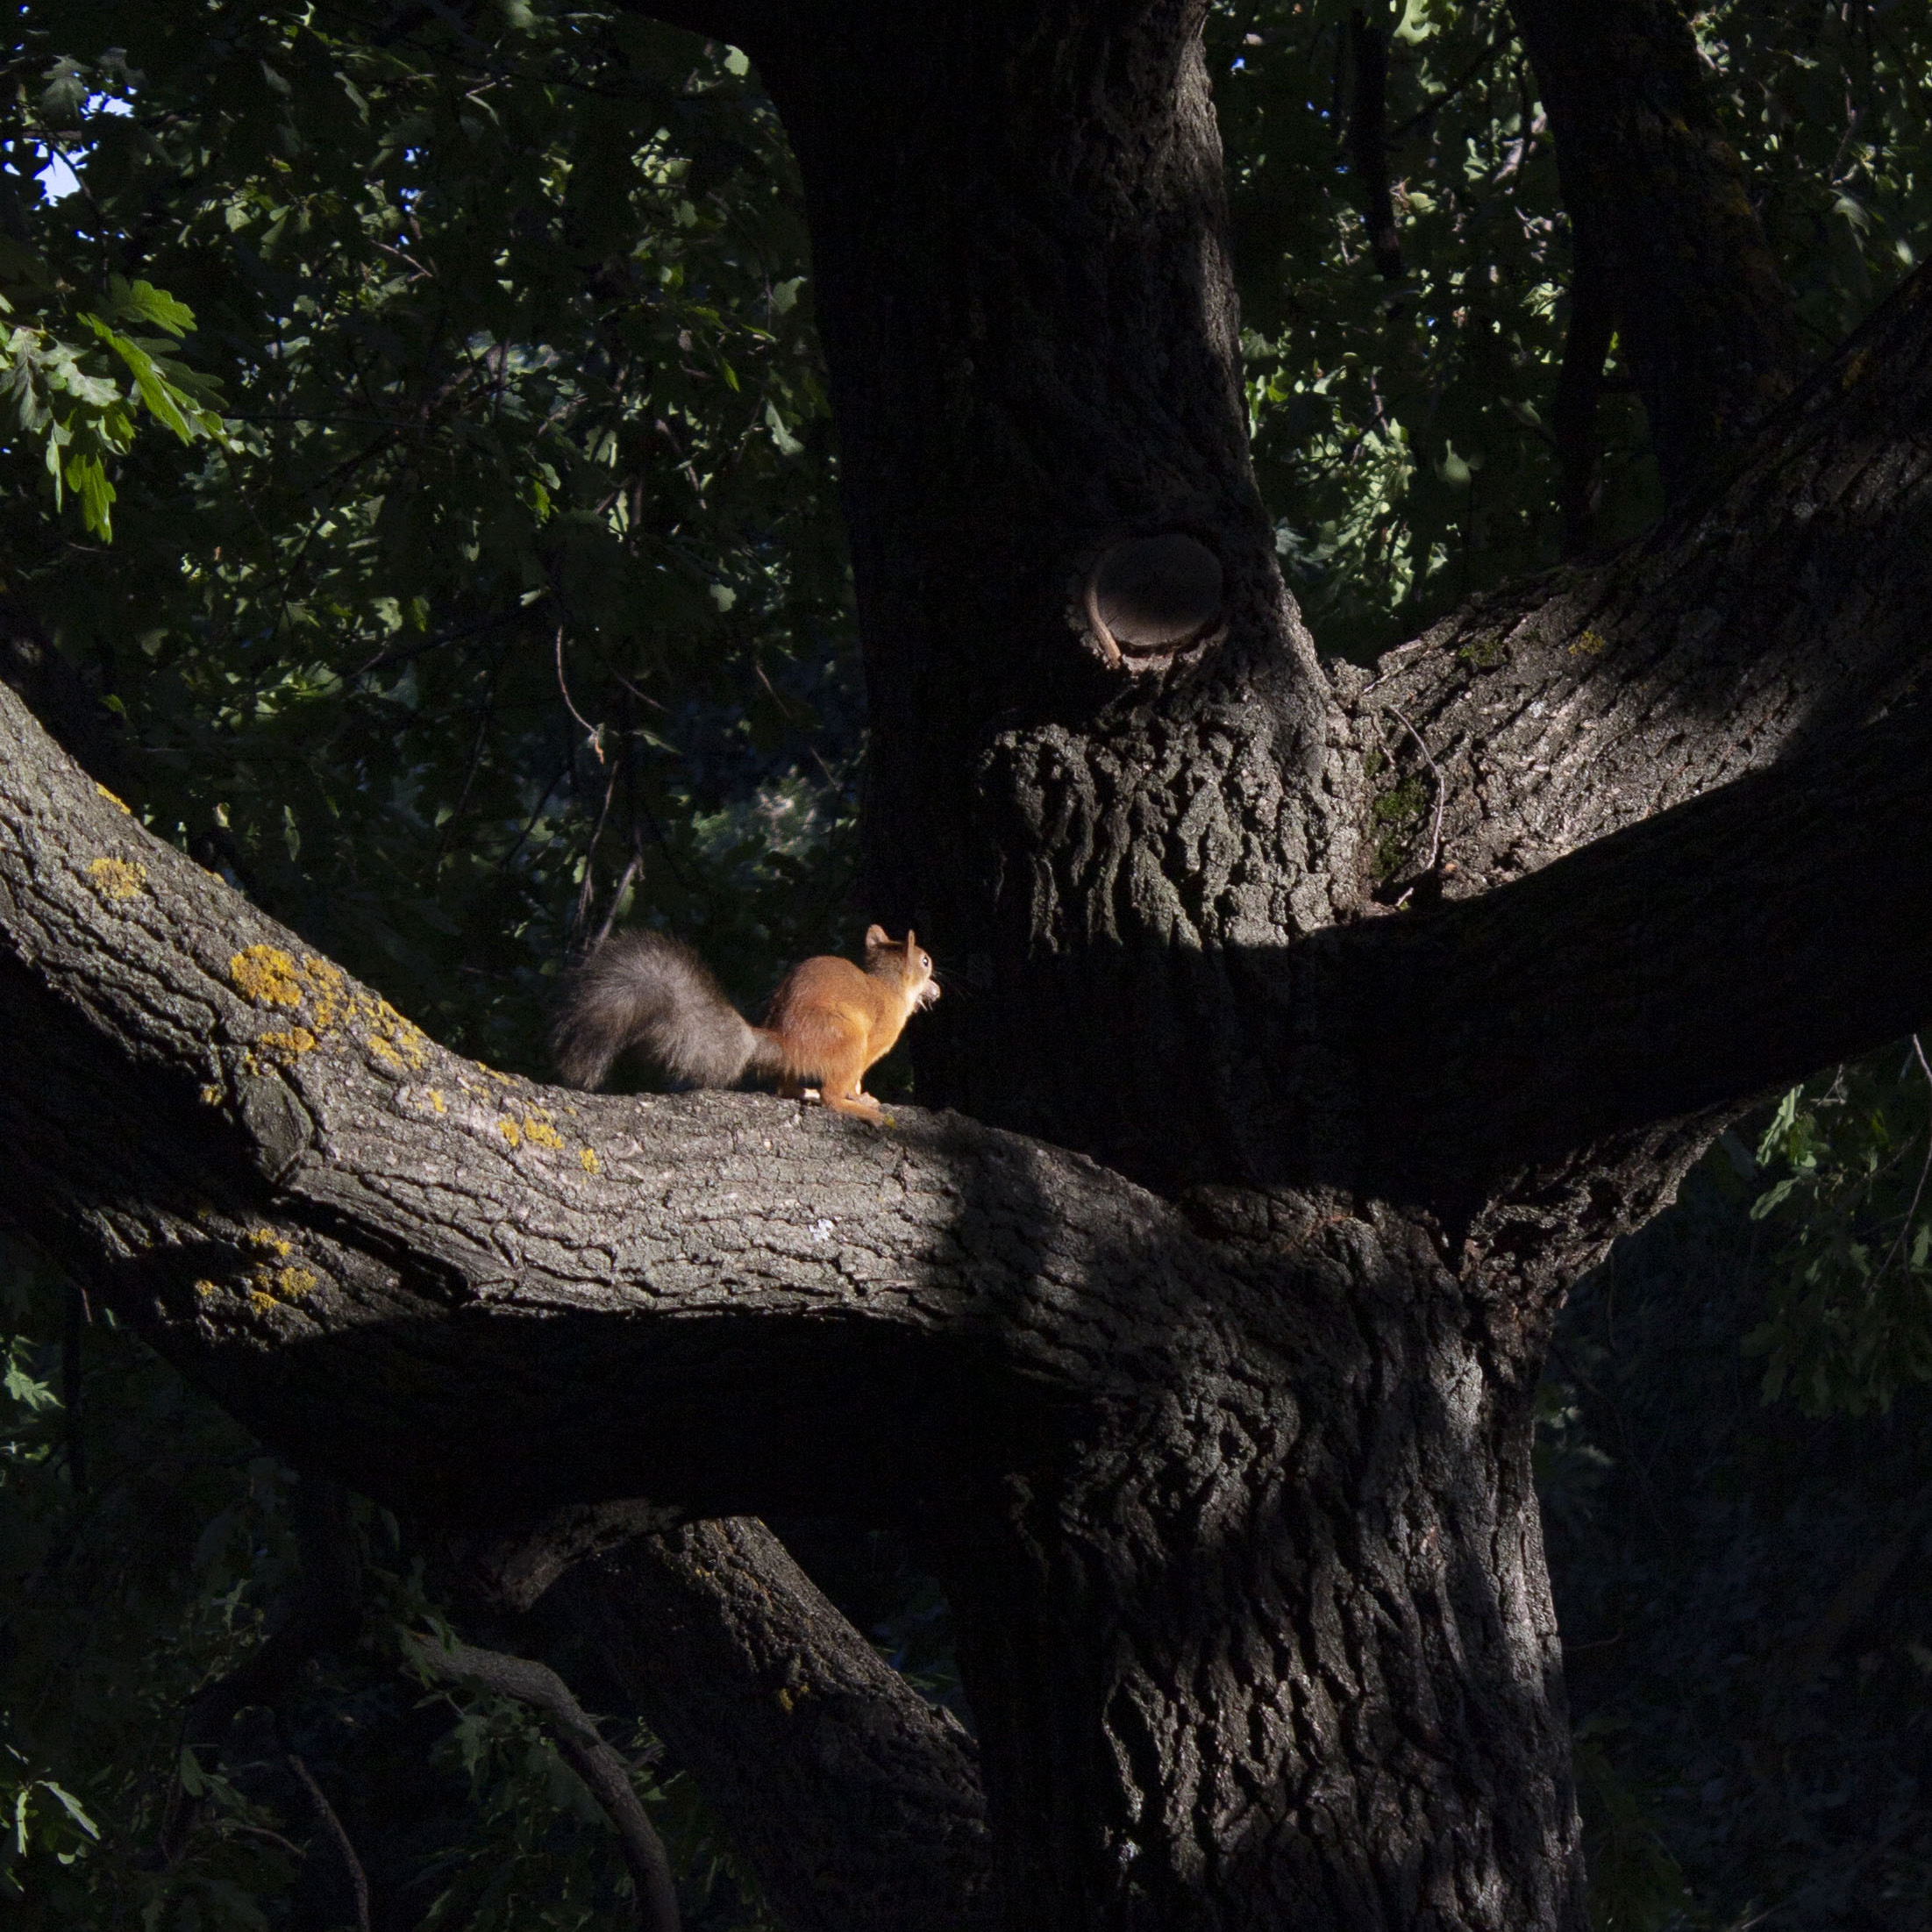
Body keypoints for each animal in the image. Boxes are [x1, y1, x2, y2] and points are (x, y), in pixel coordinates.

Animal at [551, 925, 939, 1118]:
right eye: (925, 962)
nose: (937, 989)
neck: (889, 988)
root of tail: (787, 1041)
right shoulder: (874, 1041)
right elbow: (856, 1080)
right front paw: (862, 1097)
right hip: (846, 1039)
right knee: (830, 1095)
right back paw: (858, 1111)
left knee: (785, 1088)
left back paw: (805, 1091)